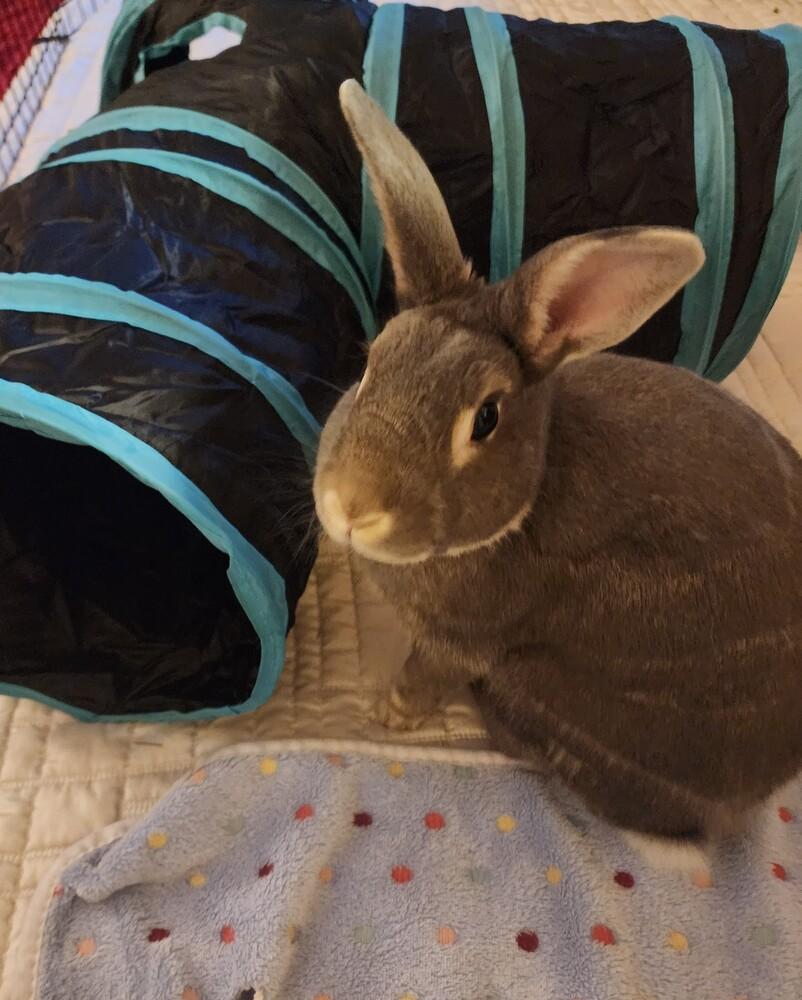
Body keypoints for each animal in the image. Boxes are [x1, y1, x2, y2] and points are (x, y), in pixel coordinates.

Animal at [313, 80, 802, 871]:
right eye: (369, 365)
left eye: (485, 418)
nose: (352, 505)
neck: (532, 488)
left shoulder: (467, 639)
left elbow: (427, 673)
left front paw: (389, 715)